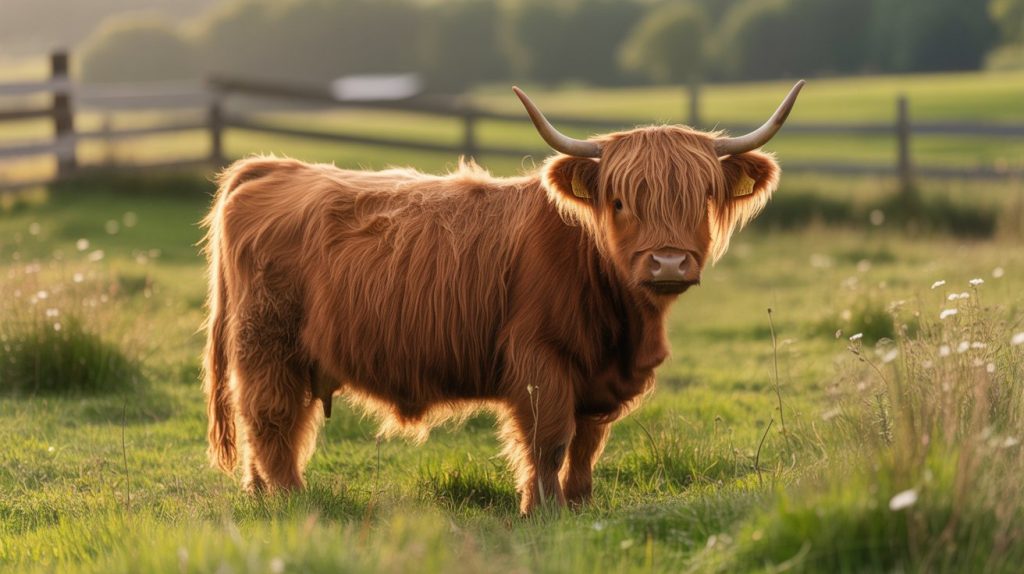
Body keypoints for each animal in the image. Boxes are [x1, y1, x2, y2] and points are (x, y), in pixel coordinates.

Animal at [202, 81, 804, 514]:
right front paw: (542, 512)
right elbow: (548, 441)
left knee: (271, 428)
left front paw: (581, 505)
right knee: (272, 421)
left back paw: (261, 495)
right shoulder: (541, 361)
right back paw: (290, 499)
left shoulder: (599, 377)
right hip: (268, 346)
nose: (670, 263)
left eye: (700, 198)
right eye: (619, 201)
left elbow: (586, 444)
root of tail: (271, 166)